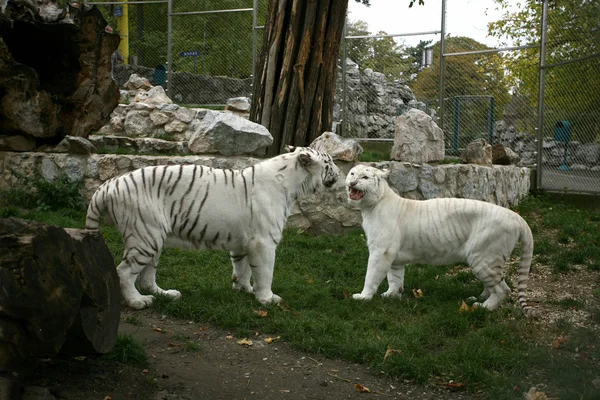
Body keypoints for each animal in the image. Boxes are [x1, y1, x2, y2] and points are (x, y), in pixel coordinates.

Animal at [87, 146, 342, 310]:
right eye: (329, 163)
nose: (340, 174)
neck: (293, 185)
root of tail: (108, 184)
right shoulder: (264, 242)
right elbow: (265, 272)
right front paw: (266, 298)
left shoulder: (244, 243)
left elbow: (243, 268)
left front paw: (244, 289)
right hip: (145, 236)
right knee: (124, 272)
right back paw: (138, 302)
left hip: (154, 237)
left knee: (146, 277)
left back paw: (167, 295)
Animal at [344, 164, 536, 318]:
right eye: (352, 173)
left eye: (364, 177)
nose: (352, 183)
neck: (369, 207)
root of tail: (517, 217)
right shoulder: (393, 255)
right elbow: (395, 277)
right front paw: (391, 294)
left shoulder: (380, 251)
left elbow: (372, 275)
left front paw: (363, 297)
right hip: (486, 260)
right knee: (493, 284)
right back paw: (477, 298)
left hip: (484, 256)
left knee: (503, 289)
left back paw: (483, 307)